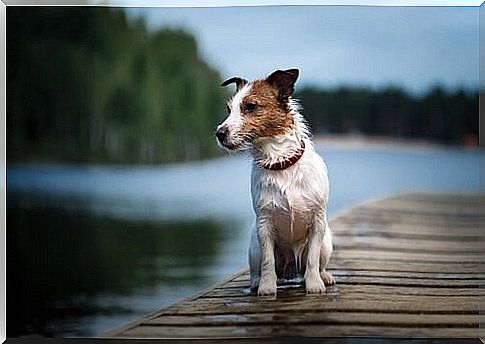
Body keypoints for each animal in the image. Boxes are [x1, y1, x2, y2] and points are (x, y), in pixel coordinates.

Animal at [216, 68, 332, 296]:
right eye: (228, 109)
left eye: (250, 106)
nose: (219, 133)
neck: (280, 163)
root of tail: (290, 271)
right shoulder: (264, 224)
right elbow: (268, 261)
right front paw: (267, 287)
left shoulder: (317, 222)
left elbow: (312, 260)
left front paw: (314, 284)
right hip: (253, 246)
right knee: (258, 268)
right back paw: (255, 282)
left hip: (327, 241)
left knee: (318, 262)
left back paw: (324, 276)